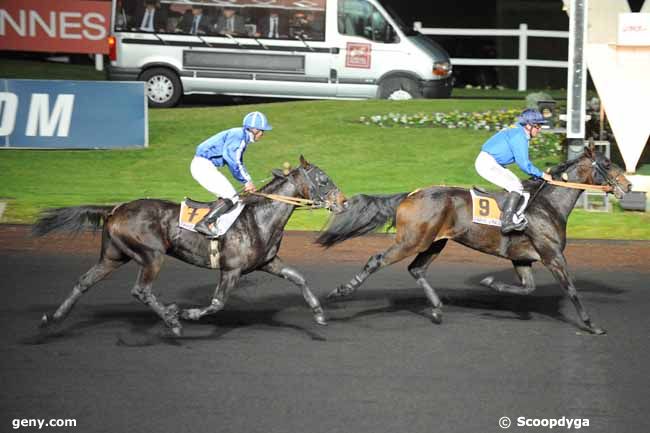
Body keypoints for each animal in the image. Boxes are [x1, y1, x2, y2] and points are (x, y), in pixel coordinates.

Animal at [33, 157, 344, 336]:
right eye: (323, 179)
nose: (343, 202)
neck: (258, 218)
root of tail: (115, 208)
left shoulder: (268, 263)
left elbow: (299, 278)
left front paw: (318, 312)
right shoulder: (231, 269)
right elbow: (217, 303)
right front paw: (186, 313)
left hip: (114, 255)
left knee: (84, 281)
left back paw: (53, 318)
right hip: (151, 255)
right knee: (140, 290)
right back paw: (172, 320)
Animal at [316, 145, 632, 334]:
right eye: (606, 163)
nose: (629, 185)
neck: (548, 205)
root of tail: (410, 195)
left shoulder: (522, 259)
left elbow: (527, 288)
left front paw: (490, 283)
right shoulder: (553, 256)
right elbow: (572, 289)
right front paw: (592, 325)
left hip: (435, 241)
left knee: (416, 269)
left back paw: (437, 309)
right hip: (412, 240)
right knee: (377, 259)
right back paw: (341, 291)